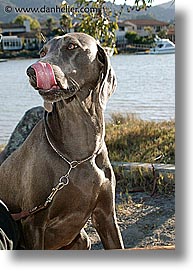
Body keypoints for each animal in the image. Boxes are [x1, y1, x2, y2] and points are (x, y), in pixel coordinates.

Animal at [0, 32, 123, 250]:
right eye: (42, 52)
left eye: (72, 46)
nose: (31, 70)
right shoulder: (33, 223)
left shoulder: (106, 216)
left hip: (83, 240)